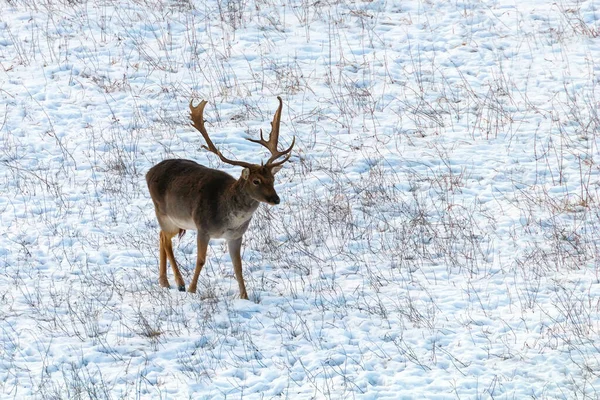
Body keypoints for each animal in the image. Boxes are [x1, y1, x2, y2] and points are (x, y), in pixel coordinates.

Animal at [146, 97, 296, 298]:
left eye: (272, 179)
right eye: (256, 181)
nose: (275, 199)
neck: (229, 219)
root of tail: (149, 172)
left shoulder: (236, 235)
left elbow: (238, 266)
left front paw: (244, 297)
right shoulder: (202, 228)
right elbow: (201, 260)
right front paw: (192, 290)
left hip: (176, 222)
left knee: (161, 235)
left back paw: (164, 281)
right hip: (163, 212)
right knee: (166, 240)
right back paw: (180, 283)